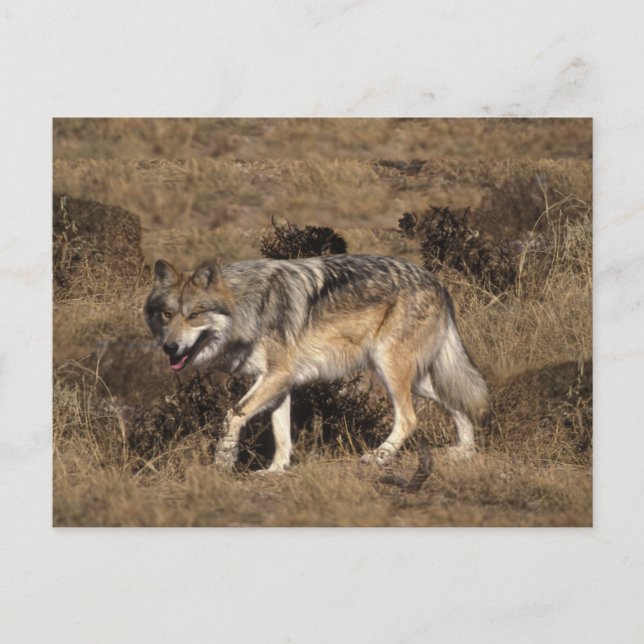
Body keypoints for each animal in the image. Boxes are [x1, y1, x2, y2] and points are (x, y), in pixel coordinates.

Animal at [144, 254, 490, 472]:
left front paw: (223, 462)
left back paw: (378, 457)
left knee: (409, 419)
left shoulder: (277, 376)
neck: (248, 308)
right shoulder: (278, 382)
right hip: (415, 379)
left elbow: (232, 416)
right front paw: (275, 470)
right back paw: (465, 452)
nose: (170, 347)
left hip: (389, 371)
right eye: (167, 314)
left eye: (194, 315)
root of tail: (437, 282)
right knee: (459, 401)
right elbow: (282, 435)